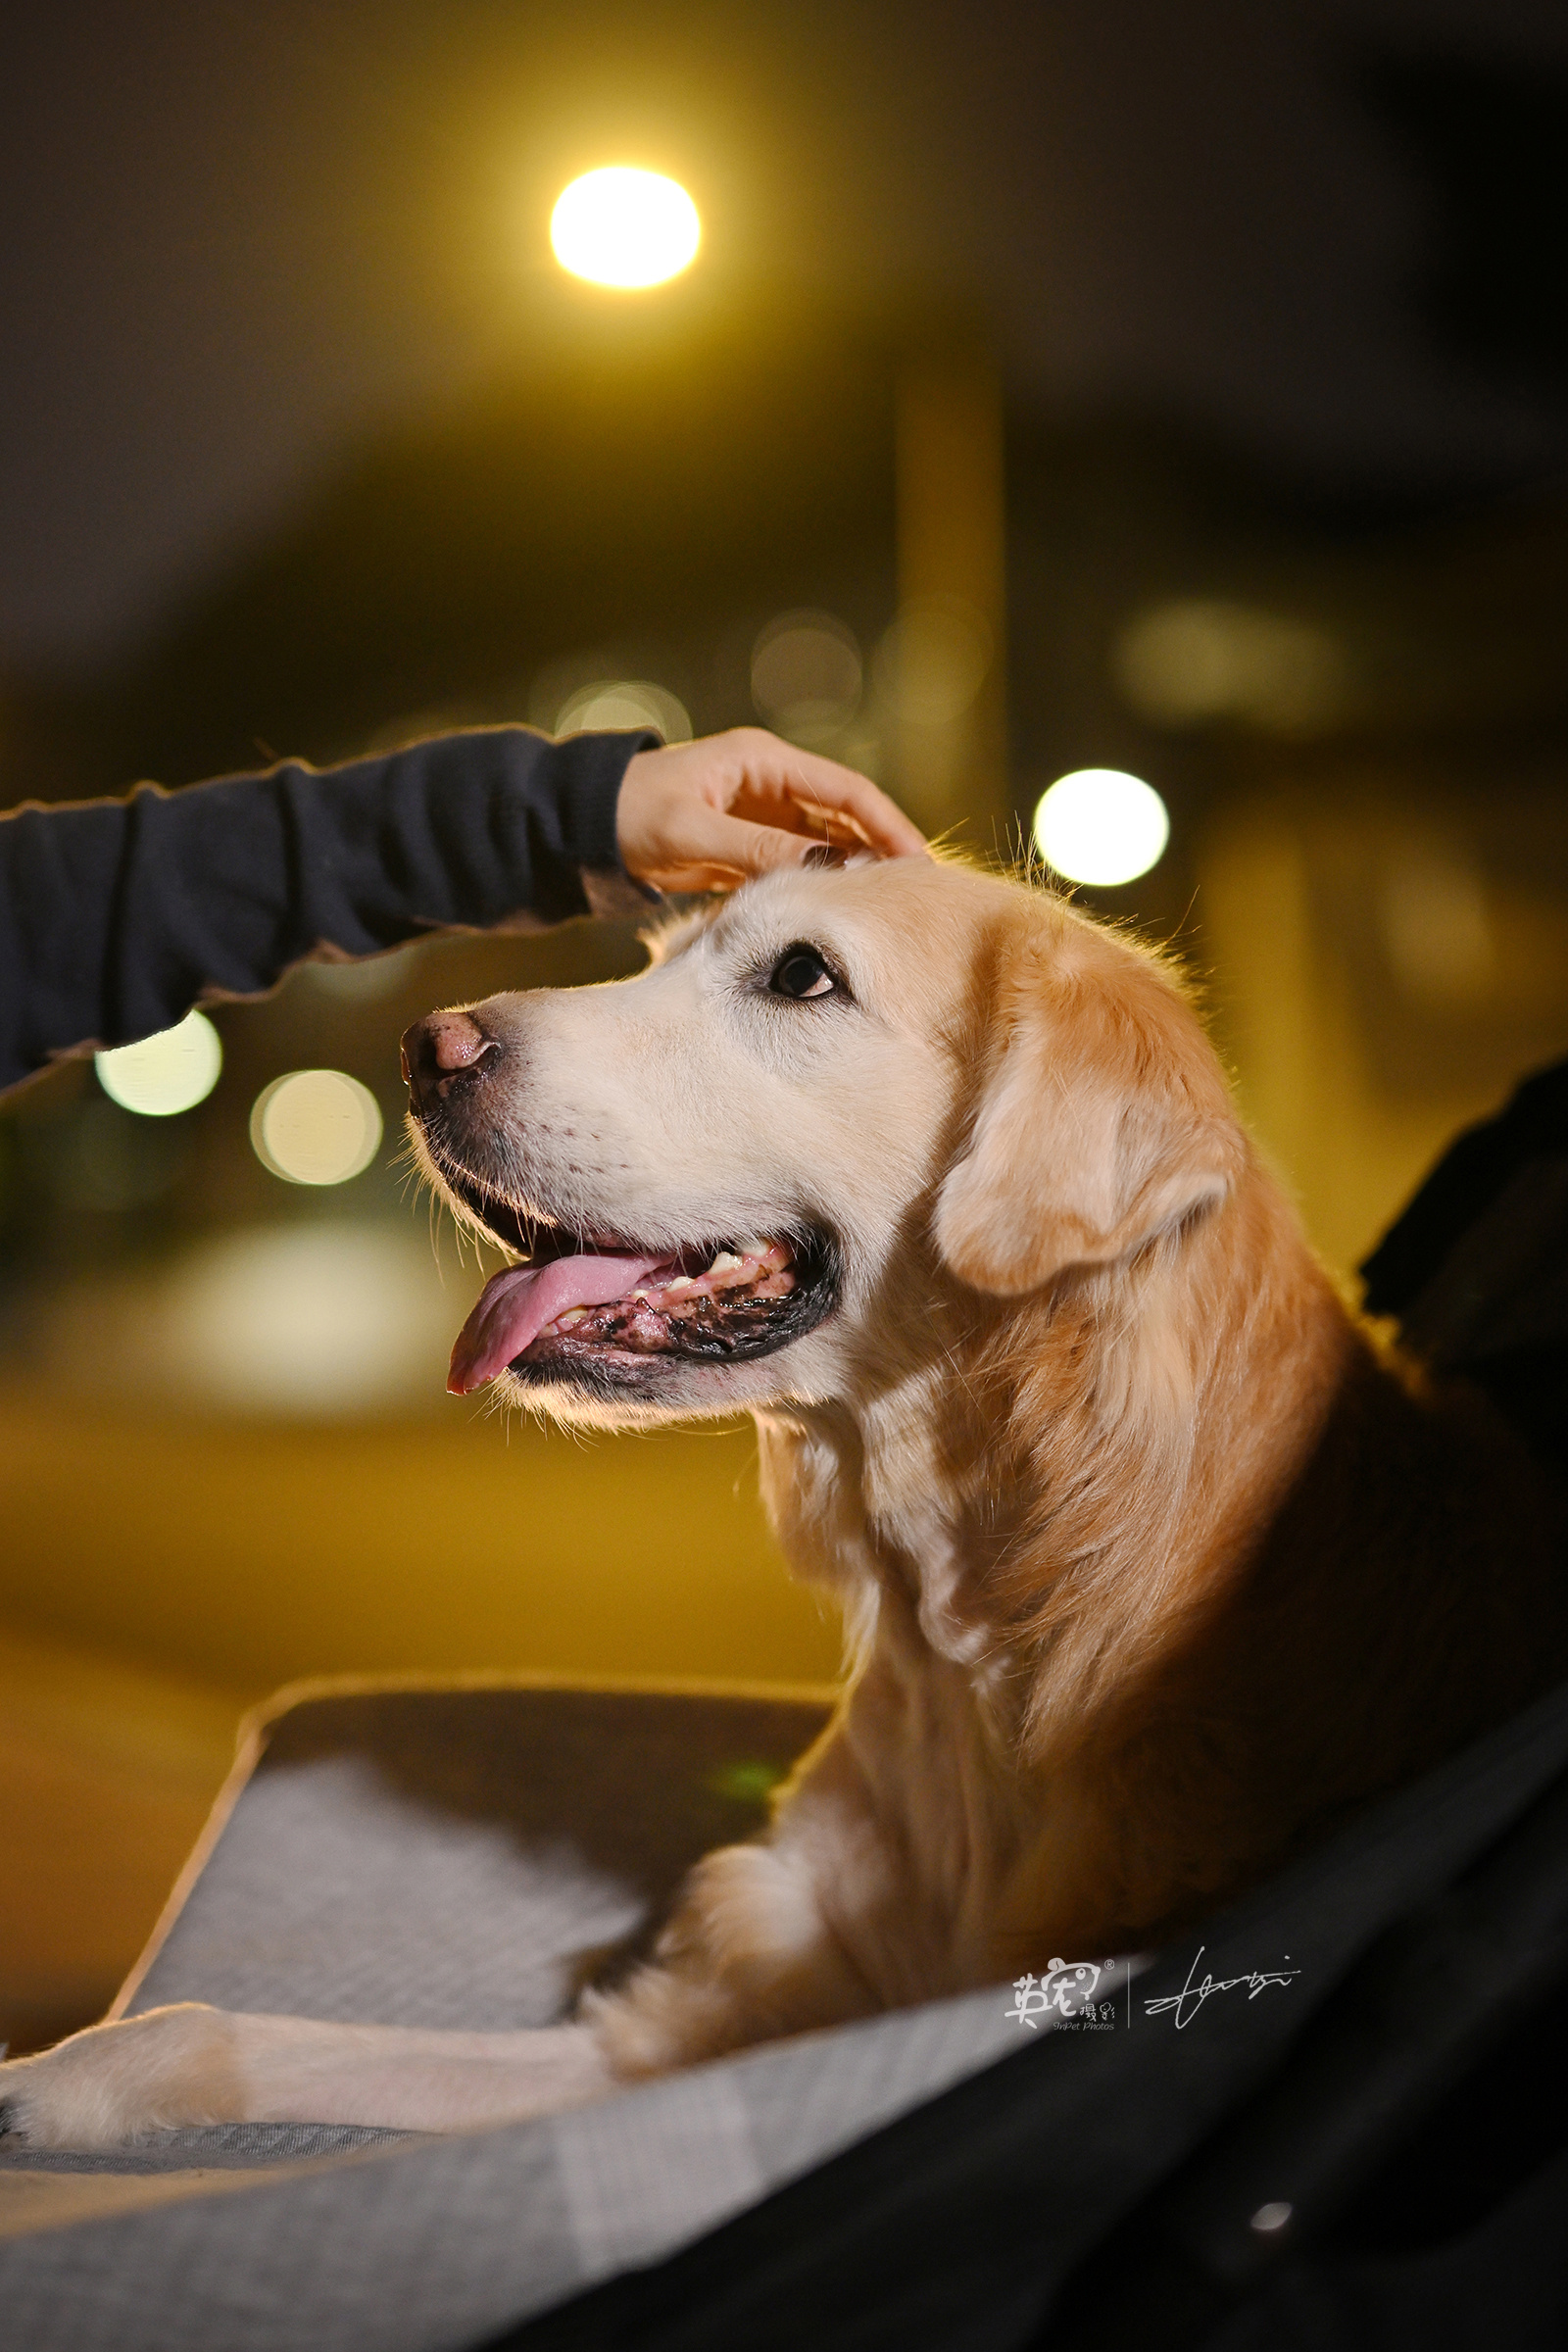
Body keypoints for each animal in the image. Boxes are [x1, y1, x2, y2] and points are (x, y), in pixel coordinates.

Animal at [6, 856, 1560, 2144]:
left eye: (801, 975)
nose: (419, 1049)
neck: (973, 1638)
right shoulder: (691, 2028)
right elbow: (228, 2037)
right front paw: (63, 2081)